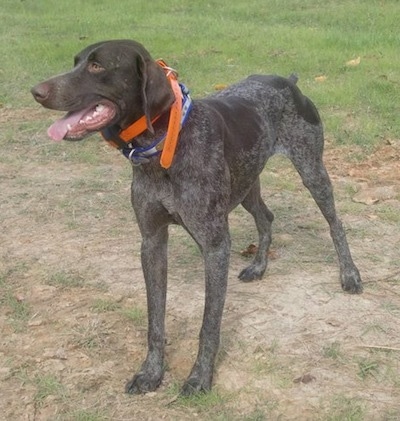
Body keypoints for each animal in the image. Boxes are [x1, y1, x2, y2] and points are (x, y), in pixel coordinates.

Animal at [31, 38, 362, 394]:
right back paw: (259, 266)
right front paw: (151, 372)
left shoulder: (215, 247)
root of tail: (288, 82)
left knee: (335, 224)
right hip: (247, 186)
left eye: (97, 66)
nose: (36, 91)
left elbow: (209, 324)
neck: (163, 143)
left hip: (311, 171)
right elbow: (155, 319)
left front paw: (200, 376)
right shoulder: (152, 242)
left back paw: (350, 274)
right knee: (266, 217)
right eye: (76, 62)